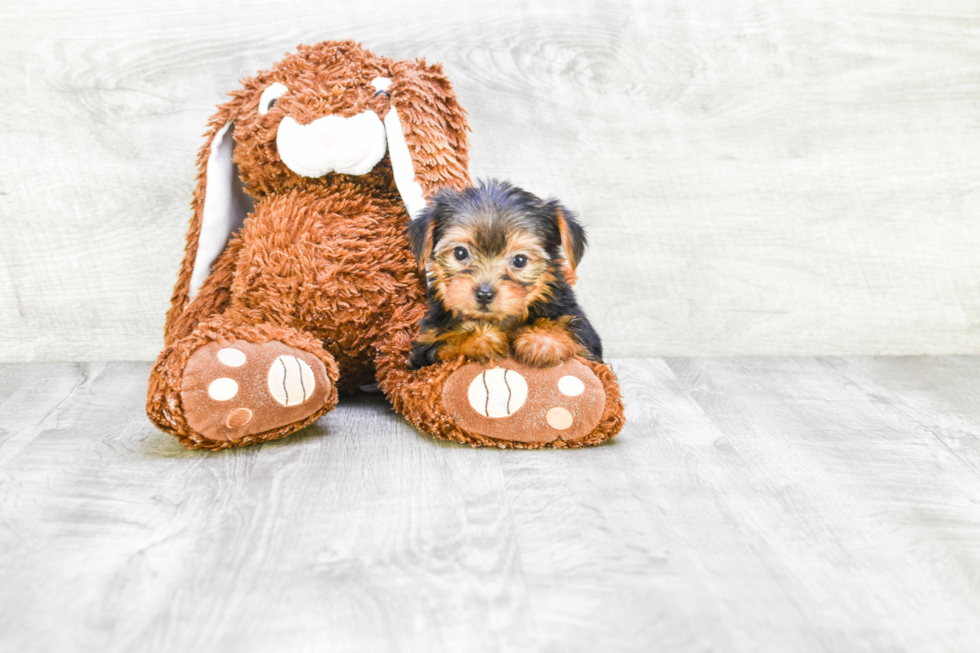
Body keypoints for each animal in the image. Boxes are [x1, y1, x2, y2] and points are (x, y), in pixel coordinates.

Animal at [408, 178, 604, 370]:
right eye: (460, 253)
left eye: (520, 260)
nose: (484, 294)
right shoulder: (426, 346)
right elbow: (447, 342)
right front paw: (482, 338)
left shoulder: (582, 331)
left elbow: (569, 330)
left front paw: (541, 340)